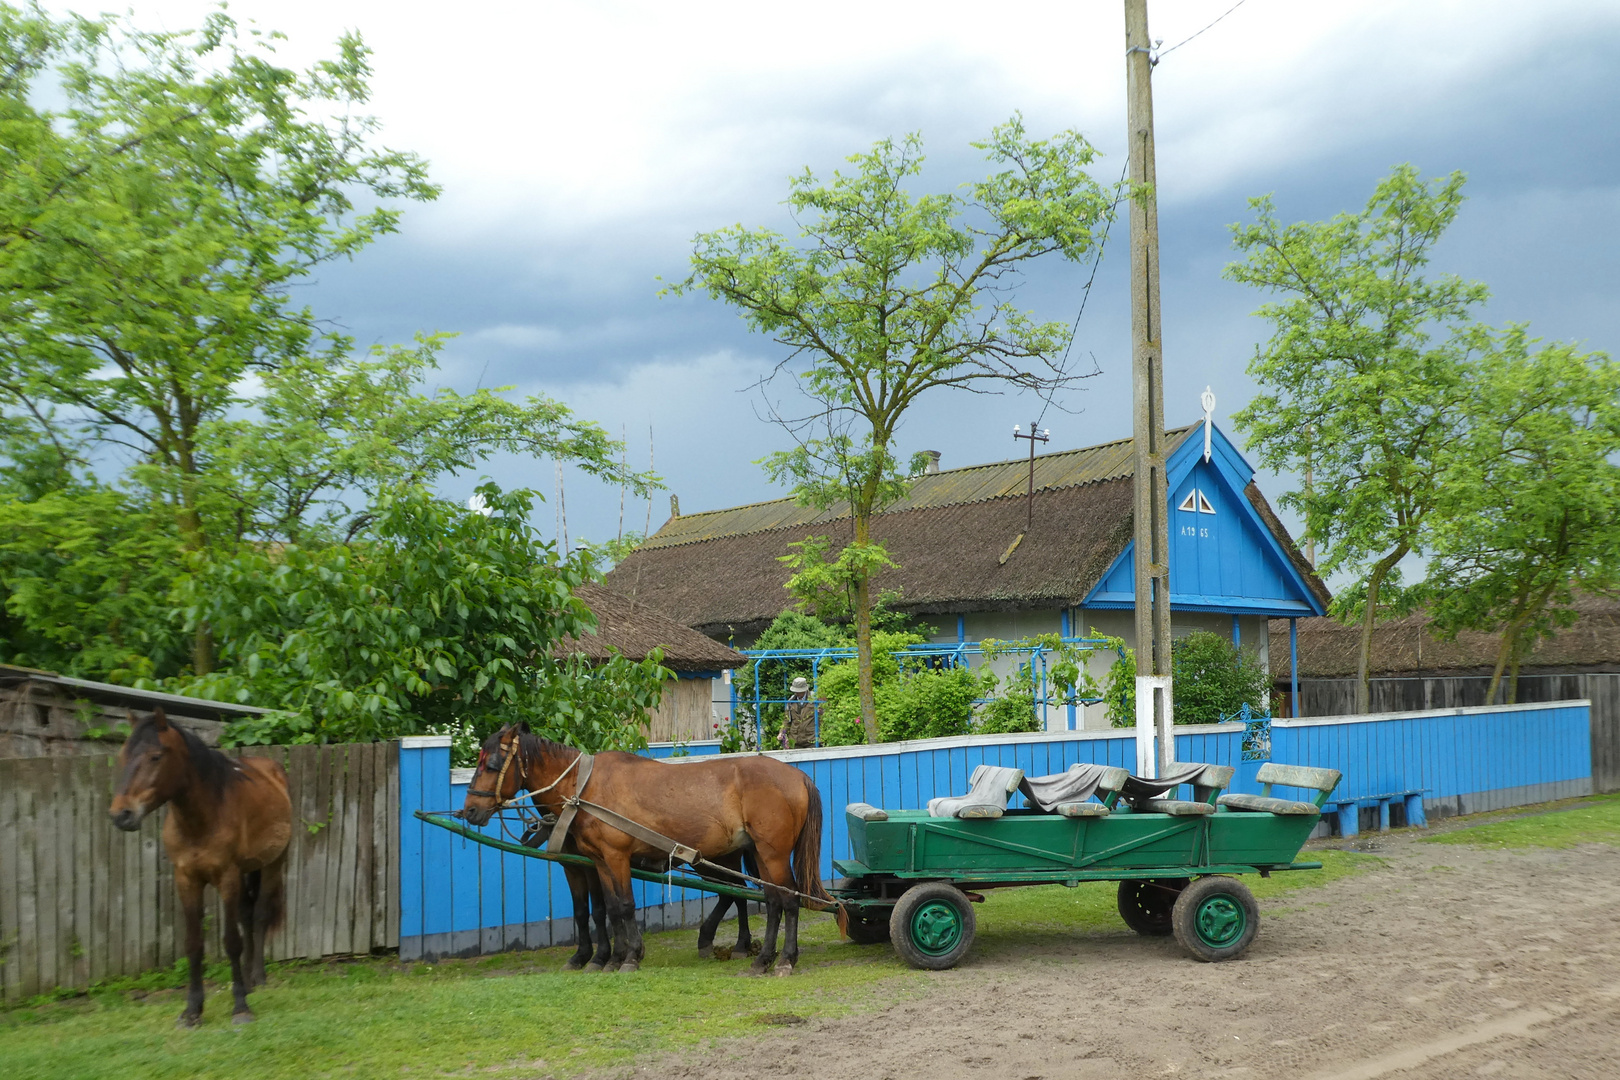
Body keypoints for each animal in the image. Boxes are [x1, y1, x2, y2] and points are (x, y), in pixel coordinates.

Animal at [110, 712, 291, 1029]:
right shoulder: (187, 880)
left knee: (258, 916)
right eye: (123, 755)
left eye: (155, 756)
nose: (122, 814)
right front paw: (192, 1011)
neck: (202, 819)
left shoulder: (227, 877)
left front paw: (240, 1008)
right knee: (246, 915)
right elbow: (193, 945)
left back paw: (257, 977)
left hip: (272, 864)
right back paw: (248, 980)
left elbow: (231, 942)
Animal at [460, 725, 829, 977]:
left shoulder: (614, 856)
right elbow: (606, 908)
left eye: (491, 765)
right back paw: (761, 958)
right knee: (768, 899)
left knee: (787, 900)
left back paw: (784, 959)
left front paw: (630, 956)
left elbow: (623, 906)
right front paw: (607, 958)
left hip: (771, 854)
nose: (470, 810)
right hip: (755, 856)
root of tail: (796, 776)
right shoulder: (598, 861)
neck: (584, 789)